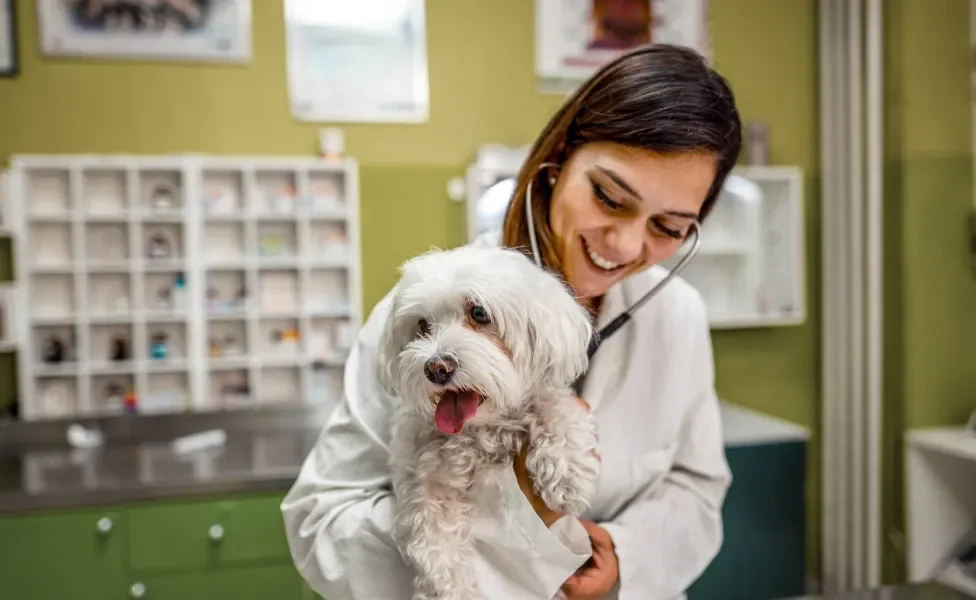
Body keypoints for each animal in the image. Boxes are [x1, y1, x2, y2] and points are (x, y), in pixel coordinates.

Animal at [376, 245, 600, 600]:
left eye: (479, 313)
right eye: (422, 324)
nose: (436, 367)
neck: (481, 430)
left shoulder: (548, 399)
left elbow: (558, 409)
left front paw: (568, 474)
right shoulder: (425, 484)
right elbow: (436, 546)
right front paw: (449, 590)